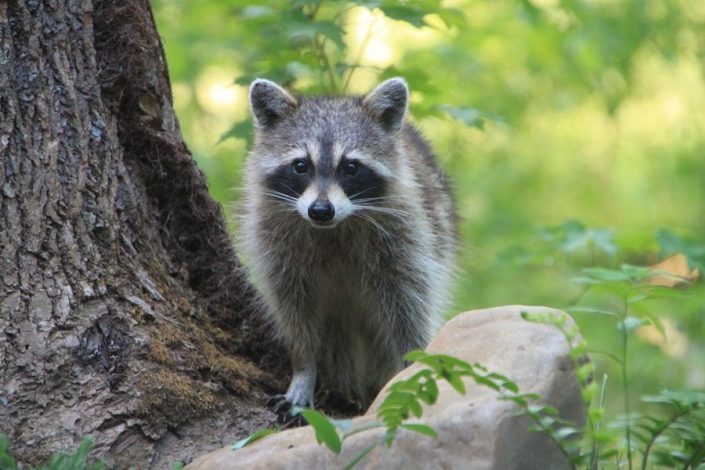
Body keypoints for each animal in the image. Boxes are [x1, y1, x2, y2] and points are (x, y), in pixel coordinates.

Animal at [239, 77, 457, 419]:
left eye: (351, 167)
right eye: (301, 166)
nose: (320, 210)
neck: (331, 229)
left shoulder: (405, 236)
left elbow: (410, 305)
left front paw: (412, 366)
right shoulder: (275, 244)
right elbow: (294, 313)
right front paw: (304, 370)